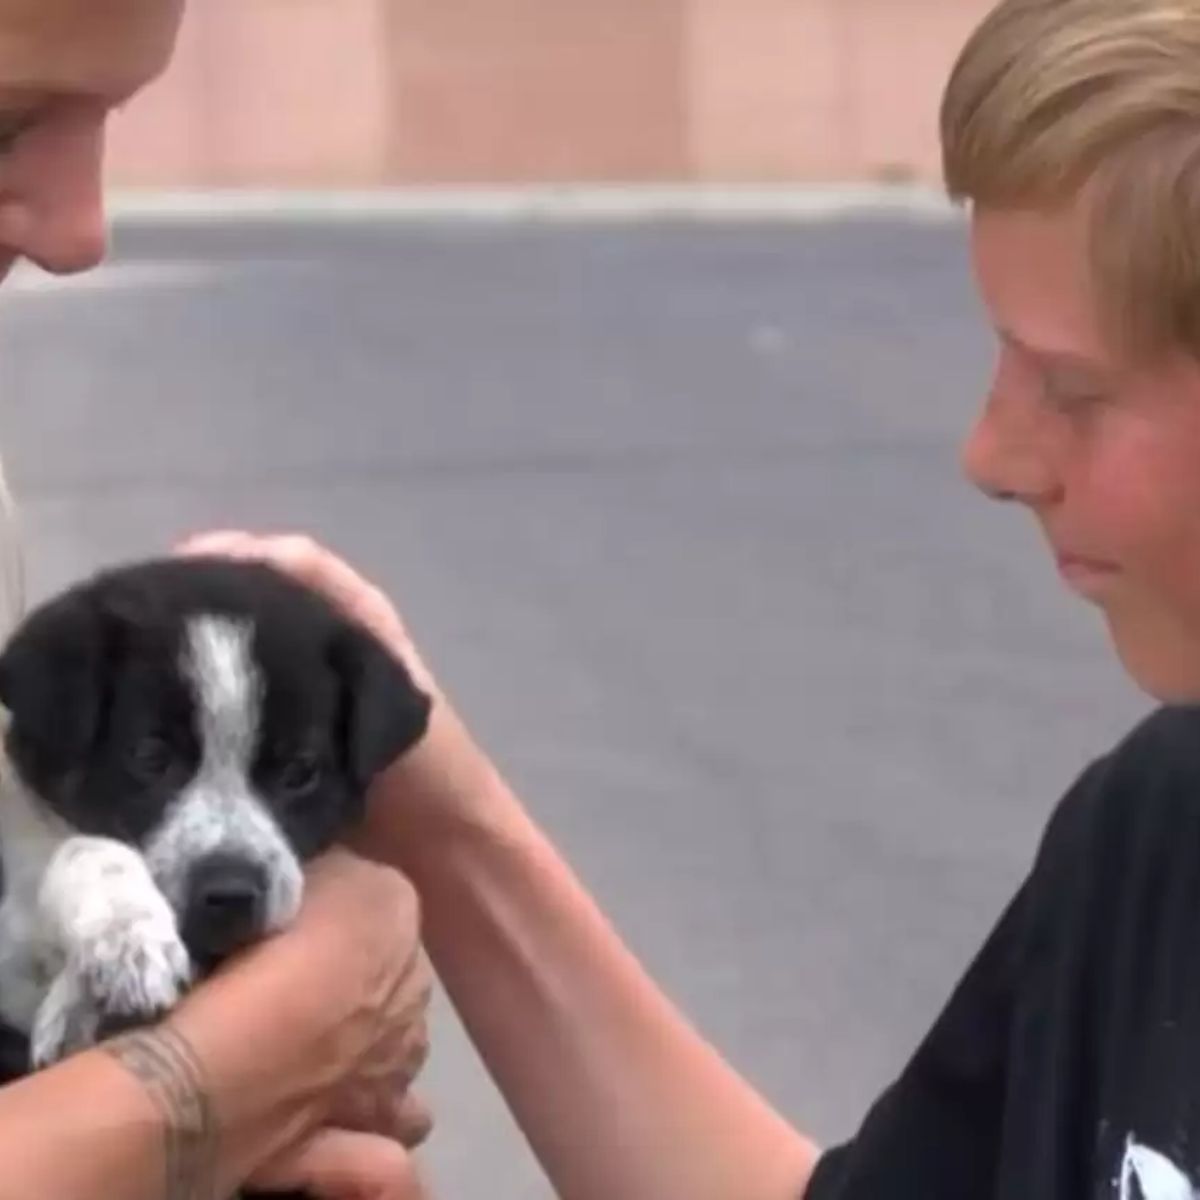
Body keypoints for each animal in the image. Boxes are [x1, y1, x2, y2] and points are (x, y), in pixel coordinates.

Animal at [0, 556, 432, 1075]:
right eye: (150, 756)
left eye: (300, 771)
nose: (230, 895)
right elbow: (83, 848)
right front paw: (127, 933)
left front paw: (86, 1000)